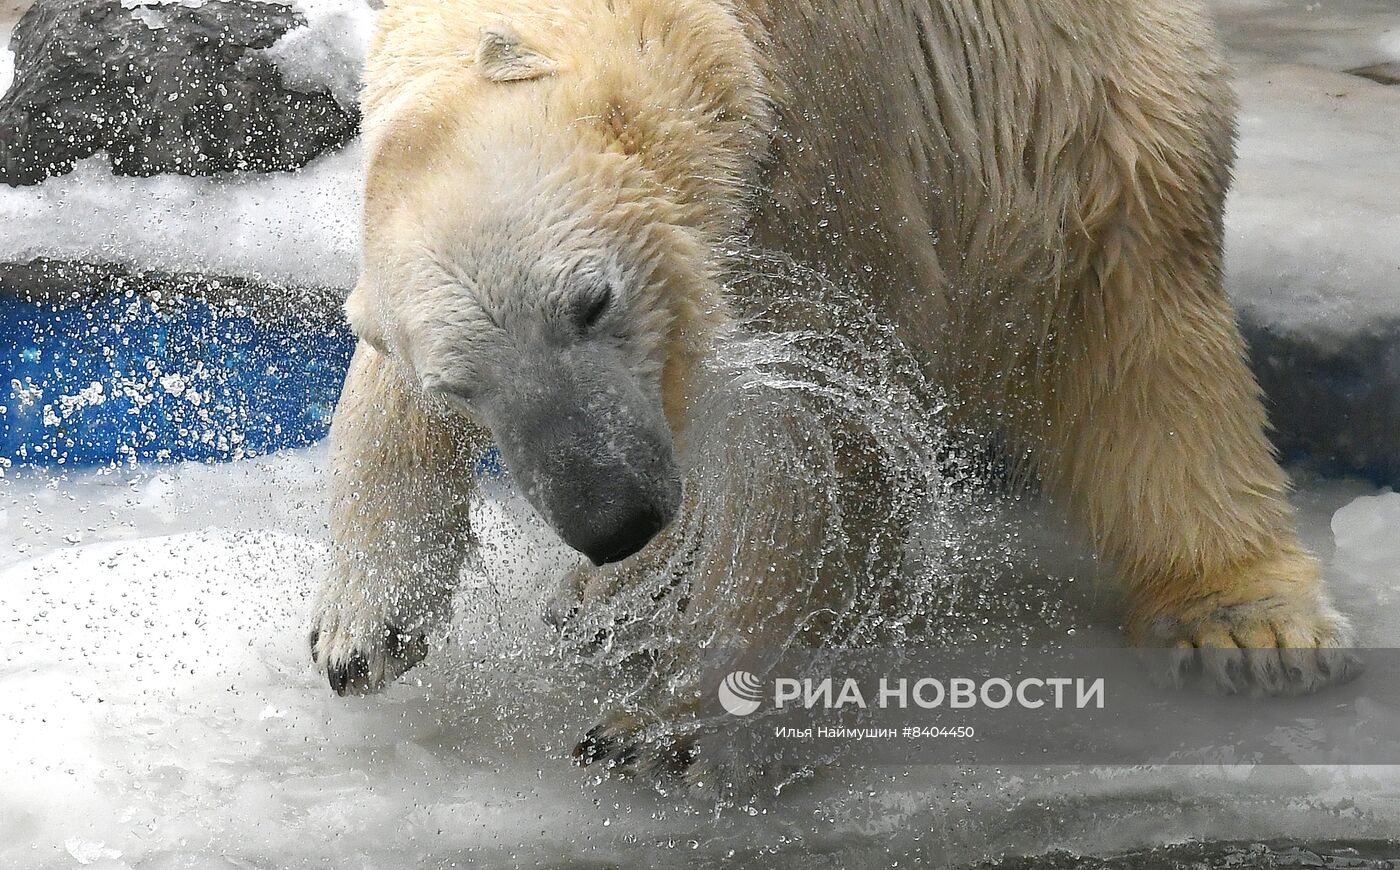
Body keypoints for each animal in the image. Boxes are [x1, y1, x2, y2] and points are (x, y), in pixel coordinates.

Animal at [306, 0, 1355, 773]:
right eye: (460, 385)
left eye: (593, 299)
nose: (613, 518)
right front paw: (362, 626)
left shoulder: (831, 145)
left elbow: (830, 419)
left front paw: (672, 719)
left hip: (1097, 124)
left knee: (1149, 352)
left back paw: (1248, 622)